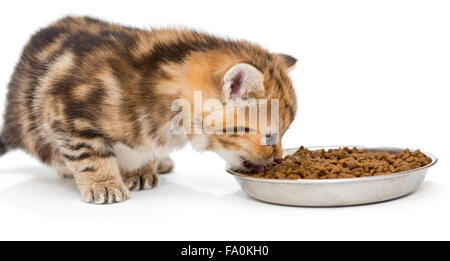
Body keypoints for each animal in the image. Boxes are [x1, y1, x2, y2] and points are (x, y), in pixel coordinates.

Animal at [0, 16, 298, 203]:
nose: (277, 159)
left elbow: (143, 149)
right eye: (271, 136)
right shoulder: (64, 112)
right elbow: (89, 154)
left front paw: (141, 170)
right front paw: (103, 184)